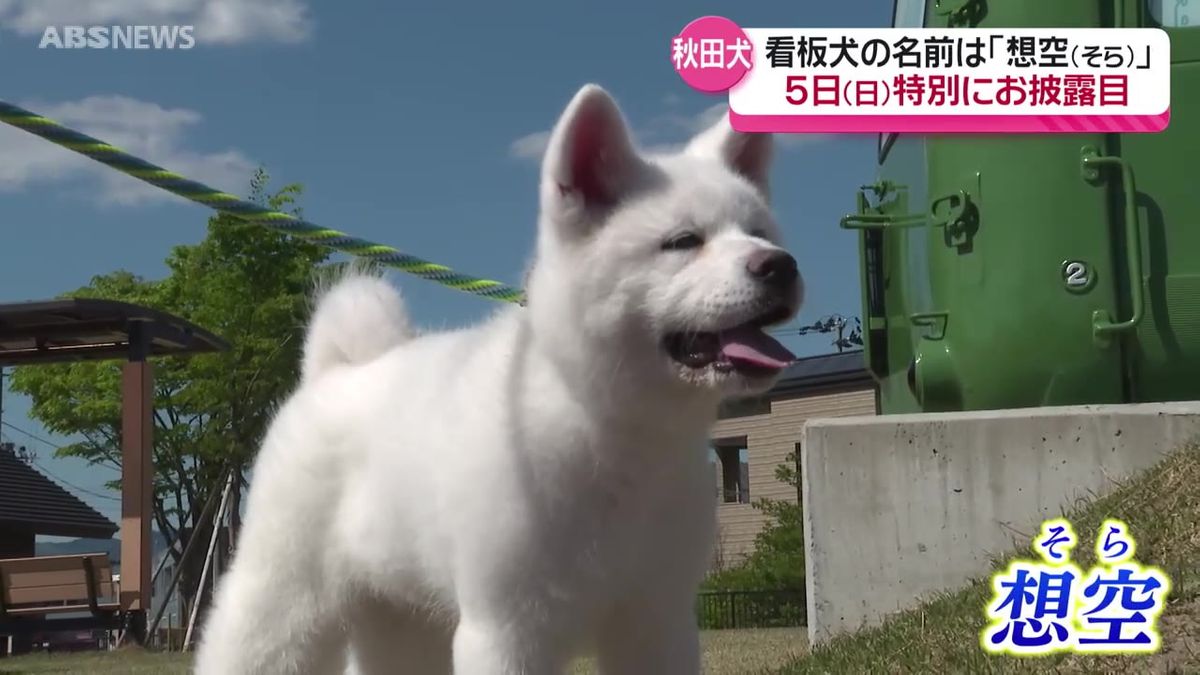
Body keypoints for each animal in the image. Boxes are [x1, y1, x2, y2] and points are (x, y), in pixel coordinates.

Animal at [196, 84, 806, 672]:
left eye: (759, 232)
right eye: (683, 242)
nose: (781, 264)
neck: (612, 429)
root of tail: (335, 369)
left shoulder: (656, 620)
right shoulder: (511, 628)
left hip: (402, 616)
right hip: (285, 598)